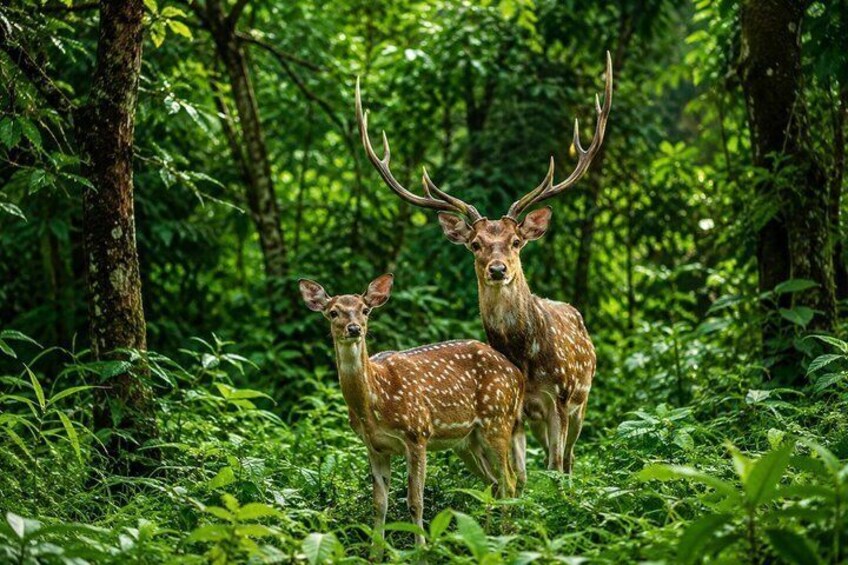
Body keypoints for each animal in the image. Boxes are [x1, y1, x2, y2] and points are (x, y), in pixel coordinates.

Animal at [298, 274, 525, 552]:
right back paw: (486, 537)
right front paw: (375, 554)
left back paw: (504, 538)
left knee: (509, 481)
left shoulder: (417, 433)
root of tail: (518, 375)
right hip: (467, 441)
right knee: (492, 483)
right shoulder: (374, 446)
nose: (354, 328)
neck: (375, 401)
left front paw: (420, 550)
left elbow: (415, 501)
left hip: (498, 420)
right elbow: (379, 504)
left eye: (365, 310)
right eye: (333, 312)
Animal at [354, 52, 612, 473]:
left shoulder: (558, 397)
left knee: (569, 458)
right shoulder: (519, 409)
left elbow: (554, 466)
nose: (497, 269)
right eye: (476, 244)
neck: (525, 358)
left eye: (516, 241)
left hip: (582, 399)